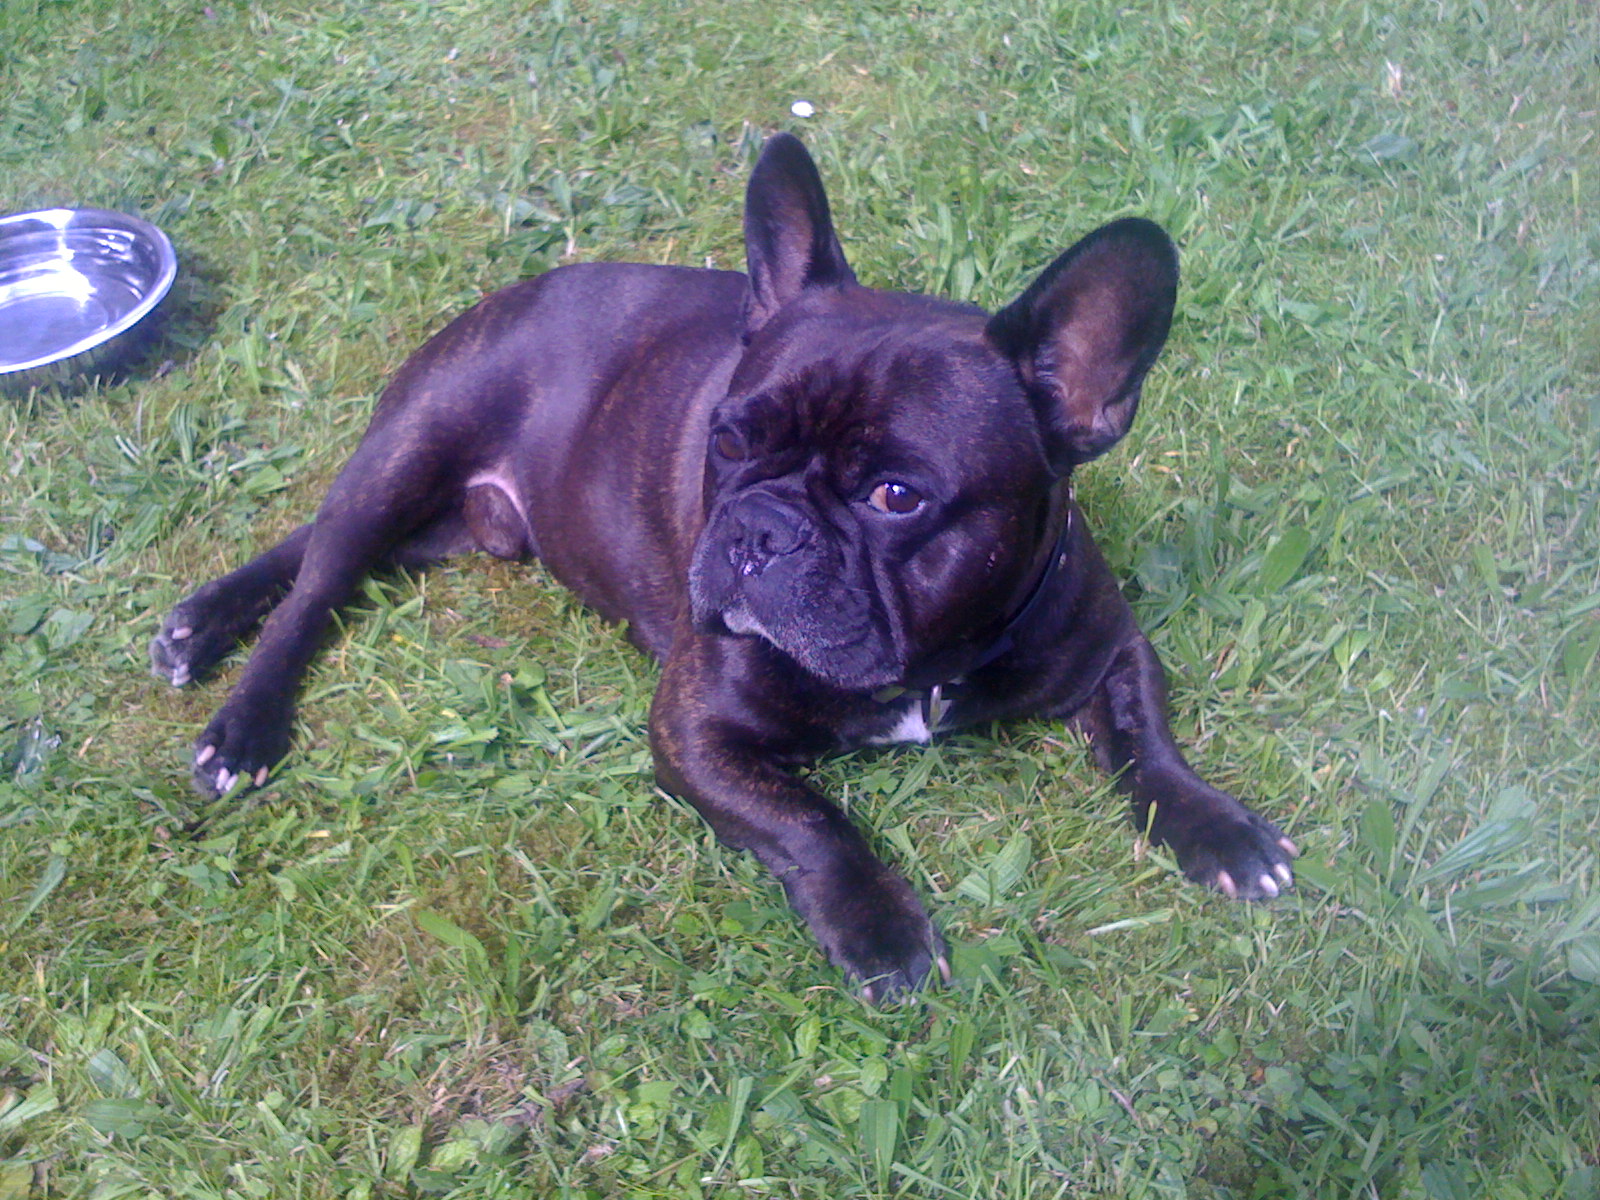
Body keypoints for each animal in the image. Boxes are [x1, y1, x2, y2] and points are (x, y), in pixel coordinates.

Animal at [152, 133, 1295, 999]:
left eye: (897, 496)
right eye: (731, 441)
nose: (757, 527)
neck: (928, 663)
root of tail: (523, 287)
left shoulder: (1108, 643)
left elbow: (1148, 741)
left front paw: (1218, 829)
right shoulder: (695, 728)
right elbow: (812, 822)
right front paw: (879, 928)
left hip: (458, 521)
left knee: (323, 554)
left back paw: (198, 622)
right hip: (414, 444)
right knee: (320, 583)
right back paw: (239, 716)